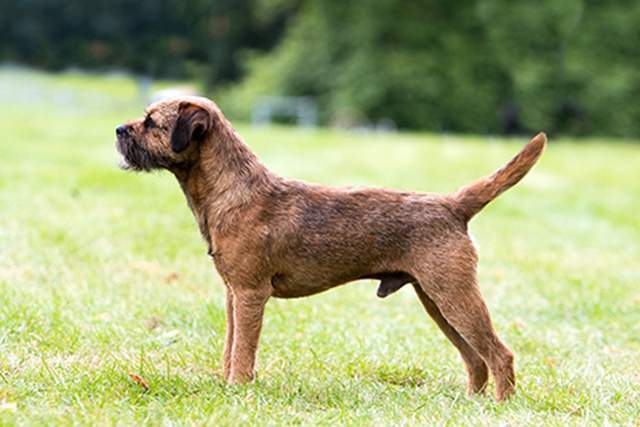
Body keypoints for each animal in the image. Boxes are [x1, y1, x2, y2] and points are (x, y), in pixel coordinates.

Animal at [115, 96, 544, 402]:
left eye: (151, 123)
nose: (119, 129)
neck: (232, 190)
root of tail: (453, 205)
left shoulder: (251, 294)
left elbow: (243, 350)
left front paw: (238, 390)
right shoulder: (233, 294)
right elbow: (230, 345)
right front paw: (226, 385)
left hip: (453, 293)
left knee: (499, 354)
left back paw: (501, 407)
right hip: (436, 299)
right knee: (475, 357)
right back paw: (473, 404)